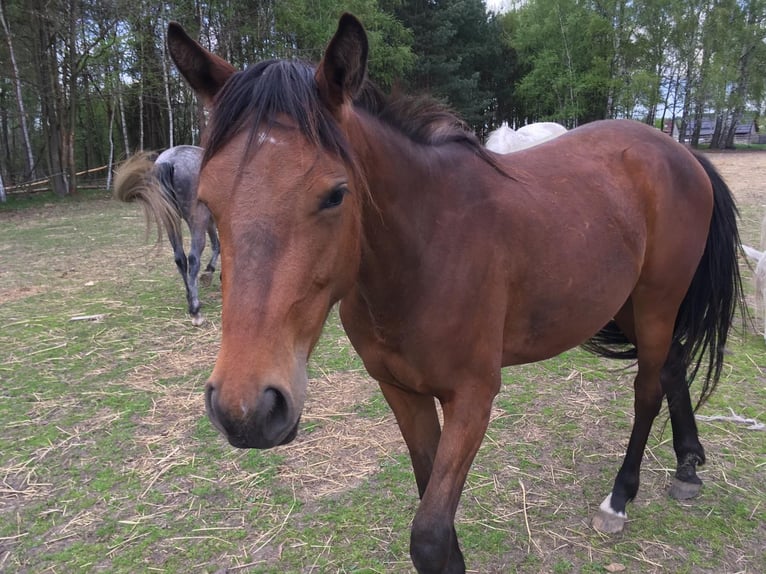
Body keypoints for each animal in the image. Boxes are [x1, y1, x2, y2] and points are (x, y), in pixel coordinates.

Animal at [115, 146, 220, 326]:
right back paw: (195, 311)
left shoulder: (211, 221)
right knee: (193, 258)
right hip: (195, 220)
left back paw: (190, 298)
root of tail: (171, 161)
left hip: (171, 219)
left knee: (180, 258)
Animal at [166, 13, 744, 574]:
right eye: (208, 201)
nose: (246, 410)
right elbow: (434, 515)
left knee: (648, 388)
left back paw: (619, 499)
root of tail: (678, 150)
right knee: (673, 366)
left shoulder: (472, 399)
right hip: (628, 305)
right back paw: (688, 465)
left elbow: (429, 535)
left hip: (656, 302)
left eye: (335, 194)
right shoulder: (403, 393)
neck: (426, 250)